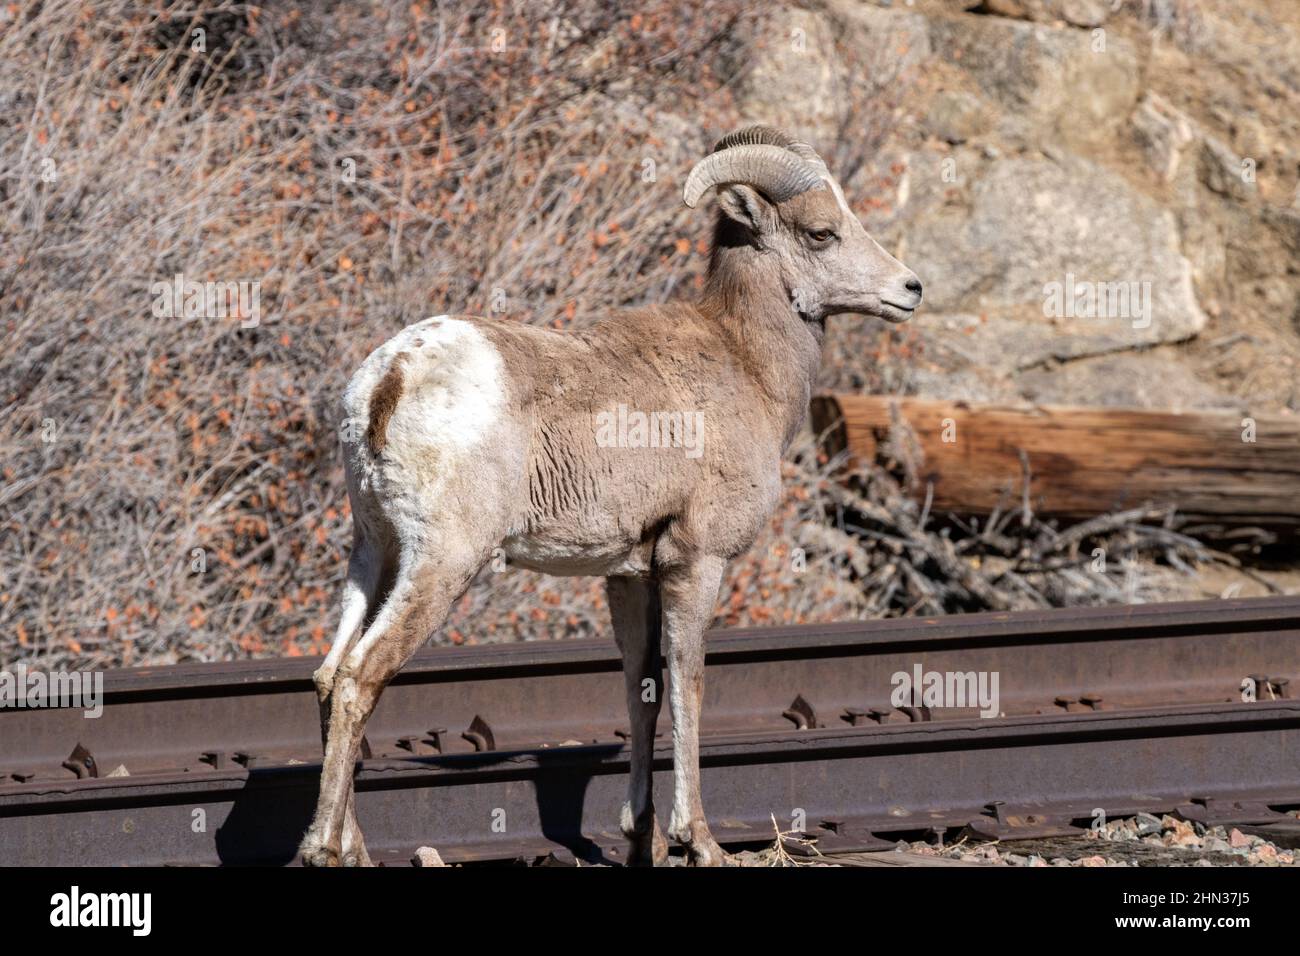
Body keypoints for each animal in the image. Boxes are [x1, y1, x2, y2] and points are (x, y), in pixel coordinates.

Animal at [299, 123, 920, 863]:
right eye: (822, 232)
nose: (911, 288)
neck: (746, 365)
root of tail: (387, 379)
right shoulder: (696, 563)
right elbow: (687, 686)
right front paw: (698, 842)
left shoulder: (627, 576)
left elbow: (641, 692)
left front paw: (640, 839)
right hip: (442, 563)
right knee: (361, 677)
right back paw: (322, 849)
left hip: (374, 554)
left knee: (331, 675)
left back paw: (352, 847)